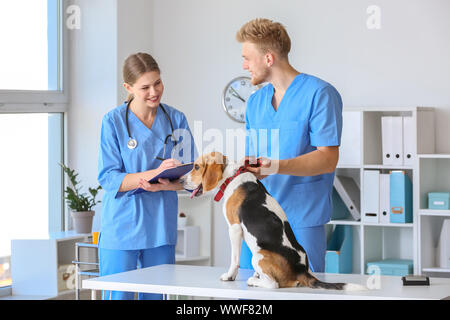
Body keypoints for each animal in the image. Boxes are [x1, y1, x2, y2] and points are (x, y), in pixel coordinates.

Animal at [182, 151, 366, 292]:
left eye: (196, 167)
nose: (181, 181)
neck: (231, 177)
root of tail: (300, 269)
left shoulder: (234, 229)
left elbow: (234, 260)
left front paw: (229, 276)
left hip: (258, 255)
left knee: (273, 285)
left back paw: (254, 281)